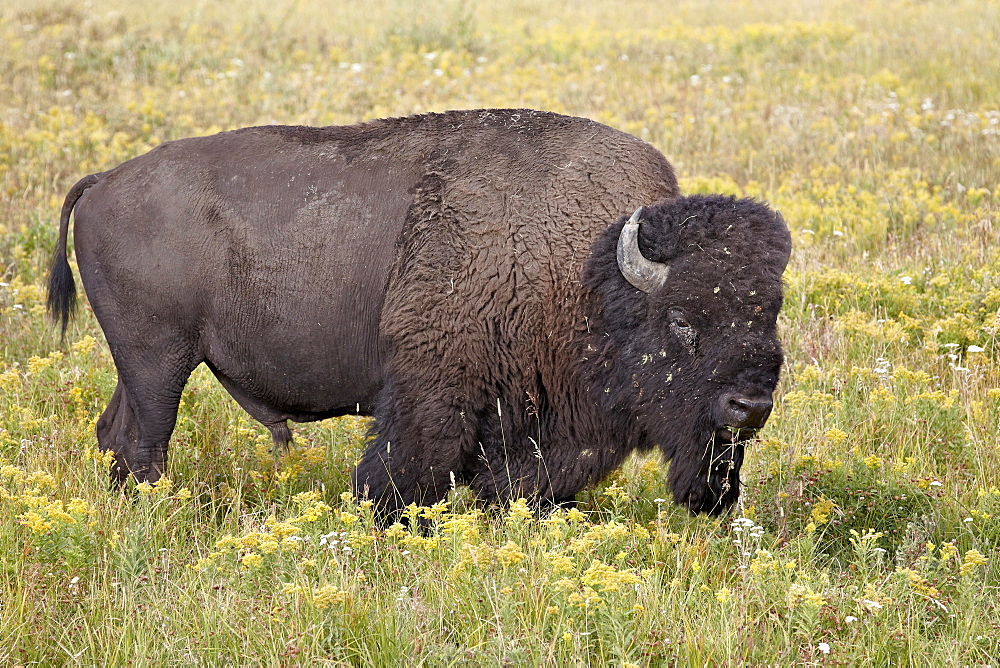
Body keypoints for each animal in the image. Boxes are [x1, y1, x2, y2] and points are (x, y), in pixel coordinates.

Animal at [48, 108, 788, 516]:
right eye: (684, 320)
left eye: (770, 313)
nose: (749, 407)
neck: (587, 269)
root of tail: (105, 180)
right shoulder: (433, 389)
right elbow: (406, 475)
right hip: (159, 361)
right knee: (144, 442)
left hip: (143, 366)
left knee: (115, 433)